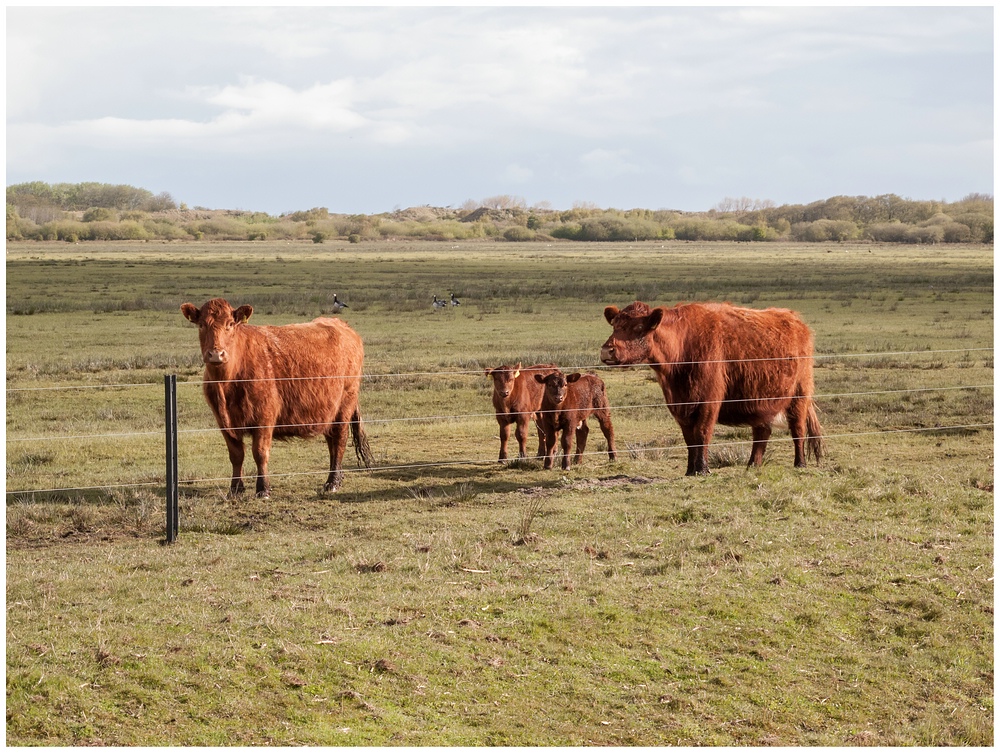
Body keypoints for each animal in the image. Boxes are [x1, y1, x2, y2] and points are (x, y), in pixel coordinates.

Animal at [180, 296, 372, 496]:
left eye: (230, 324)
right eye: (201, 325)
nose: (216, 354)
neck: (226, 384)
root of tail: (342, 325)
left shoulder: (264, 416)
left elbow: (260, 452)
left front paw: (263, 489)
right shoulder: (223, 422)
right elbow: (236, 455)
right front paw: (235, 489)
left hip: (345, 404)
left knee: (340, 440)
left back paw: (332, 482)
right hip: (329, 411)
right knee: (332, 443)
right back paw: (337, 478)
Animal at [600, 296, 820, 472]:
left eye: (637, 328)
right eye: (615, 326)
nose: (606, 350)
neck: (682, 346)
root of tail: (795, 320)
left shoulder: (709, 401)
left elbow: (702, 433)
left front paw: (702, 468)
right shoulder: (680, 405)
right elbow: (689, 439)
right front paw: (690, 470)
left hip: (799, 396)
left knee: (798, 429)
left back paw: (800, 463)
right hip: (761, 401)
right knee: (761, 432)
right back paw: (752, 465)